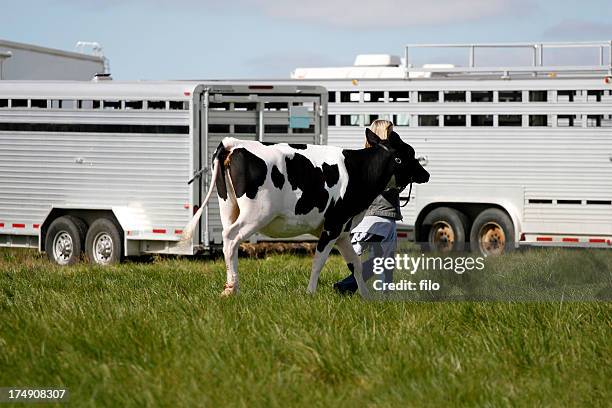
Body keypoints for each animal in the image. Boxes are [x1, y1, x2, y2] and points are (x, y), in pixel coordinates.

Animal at [182, 130, 430, 296]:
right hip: (255, 214)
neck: (358, 170)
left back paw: (230, 287)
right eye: (409, 154)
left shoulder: (342, 230)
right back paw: (233, 288)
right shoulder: (332, 226)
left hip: (228, 207)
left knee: (227, 244)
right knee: (232, 239)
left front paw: (366, 296)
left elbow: (355, 264)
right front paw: (310, 292)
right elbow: (319, 261)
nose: (426, 174)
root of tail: (233, 143)